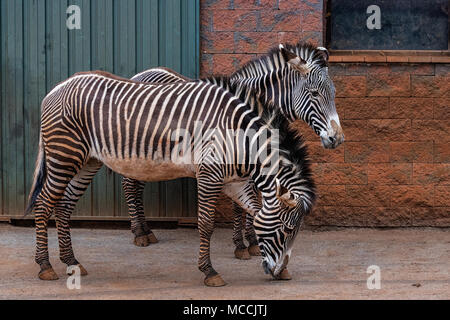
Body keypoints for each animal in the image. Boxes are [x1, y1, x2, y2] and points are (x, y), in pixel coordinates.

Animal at [27, 69, 316, 284]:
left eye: (296, 232)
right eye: (287, 229)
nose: (277, 272)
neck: (239, 136)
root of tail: (56, 88)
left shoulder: (235, 183)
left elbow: (254, 210)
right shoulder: (209, 175)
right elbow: (206, 224)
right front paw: (209, 272)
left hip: (87, 161)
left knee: (63, 207)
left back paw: (71, 262)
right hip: (64, 155)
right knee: (43, 205)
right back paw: (45, 266)